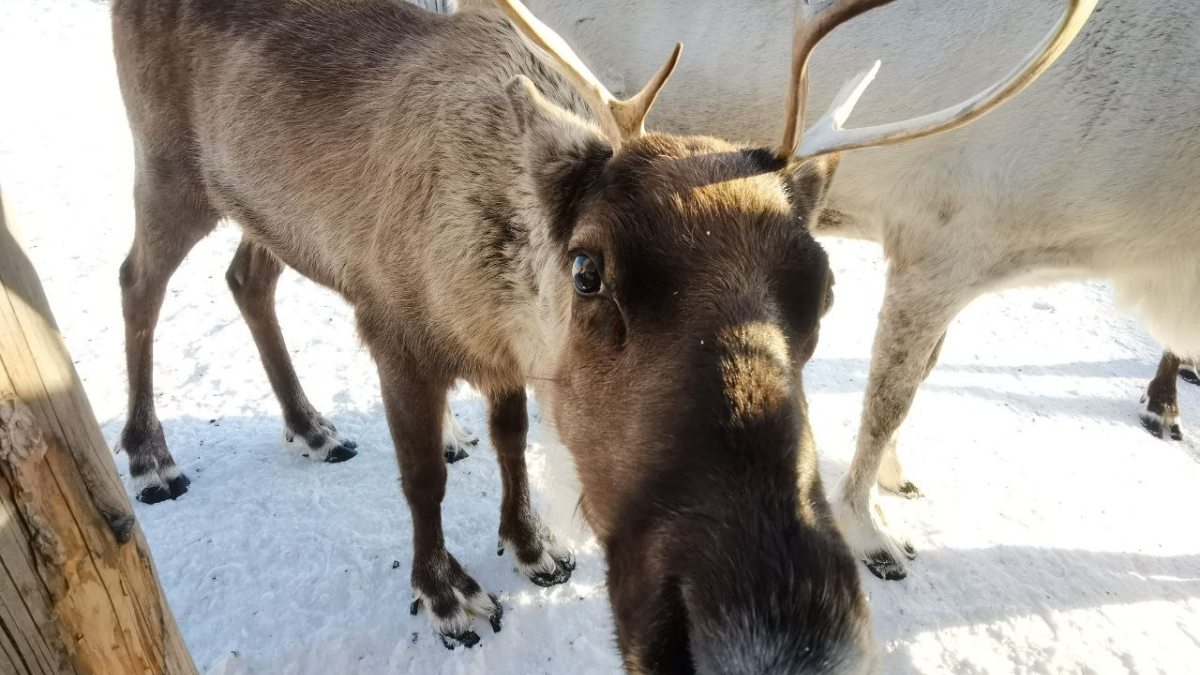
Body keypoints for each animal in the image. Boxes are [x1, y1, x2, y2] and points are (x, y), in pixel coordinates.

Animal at [111, 0, 1093, 666]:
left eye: (823, 288)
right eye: (587, 268)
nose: (784, 640)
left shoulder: (503, 357)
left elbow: (511, 436)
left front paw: (533, 545)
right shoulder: (395, 328)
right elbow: (424, 477)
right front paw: (448, 595)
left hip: (257, 204)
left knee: (246, 278)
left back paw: (310, 426)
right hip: (167, 166)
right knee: (137, 283)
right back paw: (151, 455)